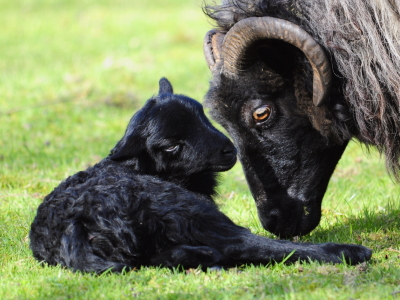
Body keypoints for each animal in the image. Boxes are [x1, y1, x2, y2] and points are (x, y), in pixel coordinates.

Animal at [29, 78, 370, 274]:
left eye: (200, 115)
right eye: (170, 145)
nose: (229, 150)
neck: (138, 166)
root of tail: (75, 224)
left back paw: (198, 256)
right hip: (186, 211)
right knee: (242, 245)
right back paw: (347, 252)